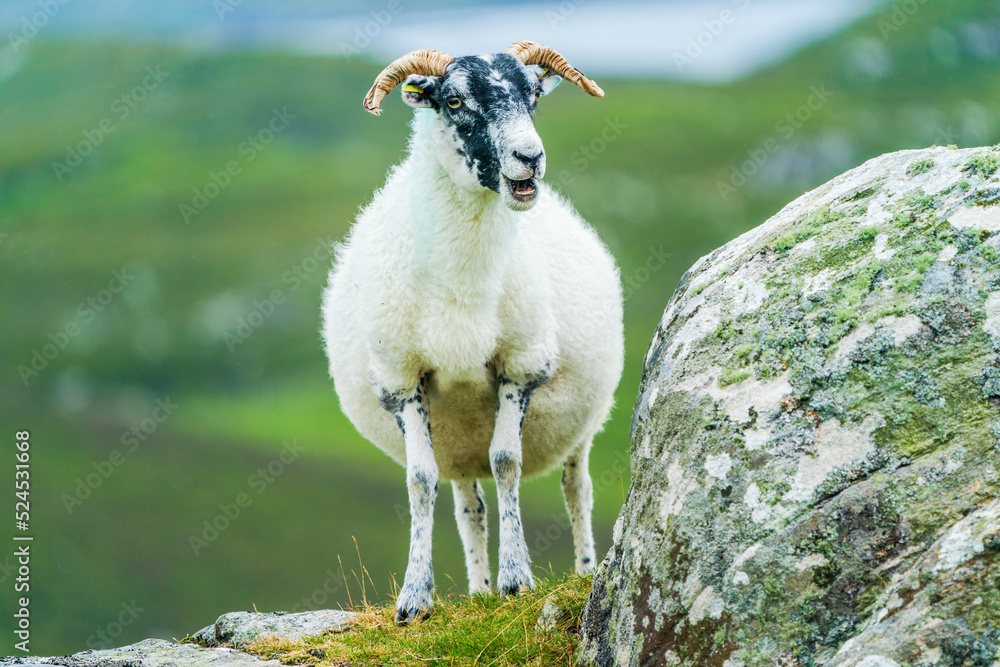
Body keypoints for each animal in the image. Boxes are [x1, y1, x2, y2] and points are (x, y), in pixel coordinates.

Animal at [321, 41, 624, 624]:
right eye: (455, 100)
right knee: (468, 506)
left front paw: (517, 579)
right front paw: (415, 598)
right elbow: (420, 482)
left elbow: (507, 463)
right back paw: (479, 591)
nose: (530, 157)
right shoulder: (400, 379)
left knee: (577, 489)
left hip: (585, 420)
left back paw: (582, 570)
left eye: (533, 96)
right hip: (457, 440)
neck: (462, 284)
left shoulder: (521, 365)